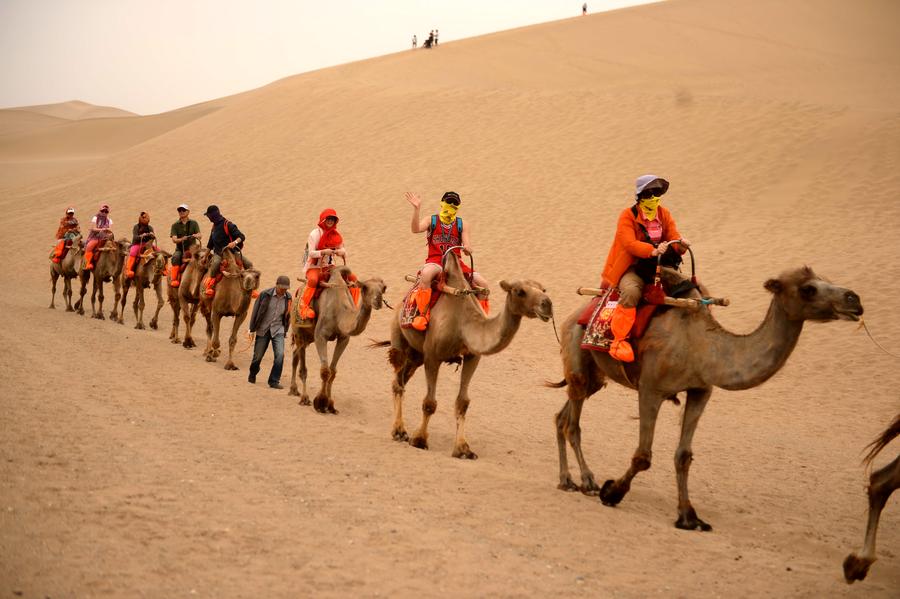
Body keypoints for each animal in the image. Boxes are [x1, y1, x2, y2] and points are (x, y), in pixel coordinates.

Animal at [288, 264, 386, 414]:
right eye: (365, 287)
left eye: (383, 288)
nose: (378, 300)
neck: (340, 314)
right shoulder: (320, 336)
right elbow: (325, 371)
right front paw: (320, 403)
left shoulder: (344, 338)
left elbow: (333, 371)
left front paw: (331, 405)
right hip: (299, 331)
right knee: (302, 365)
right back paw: (304, 398)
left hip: (308, 337)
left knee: (295, 354)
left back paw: (293, 389)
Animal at [376, 253, 552, 460]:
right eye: (520, 291)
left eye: (543, 289)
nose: (547, 304)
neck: (464, 325)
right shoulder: (432, 356)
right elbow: (430, 403)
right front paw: (419, 439)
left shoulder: (472, 357)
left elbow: (463, 403)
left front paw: (463, 449)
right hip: (399, 336)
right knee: (398, 382)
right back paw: (399, 431)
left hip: (416, 354)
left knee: (402, 379)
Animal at [548, 268, 864, 528]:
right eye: (808, 288)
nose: (854, 298)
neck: (702, 347)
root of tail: (578, 311)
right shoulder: (651, 389)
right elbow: (643, 456)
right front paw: (612, 492)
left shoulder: (701, 391)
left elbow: (683, 456)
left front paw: (689, 516)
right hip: (577, 353)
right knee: (573, 424)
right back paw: (587, 481)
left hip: (594, 377)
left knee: (562, 415)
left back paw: (566, 480)